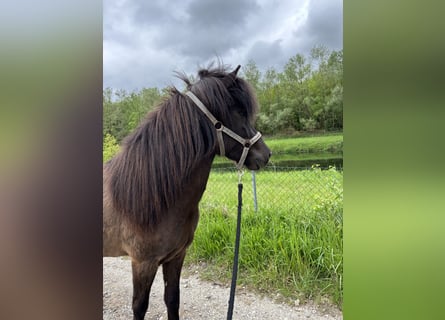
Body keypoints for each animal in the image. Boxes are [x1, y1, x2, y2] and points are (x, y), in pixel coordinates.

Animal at [103, 63, 270, 318]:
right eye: (239, 112)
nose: (266, 154)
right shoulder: (143, 263)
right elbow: (139, 307)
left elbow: (172, 300)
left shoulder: (176, 256)